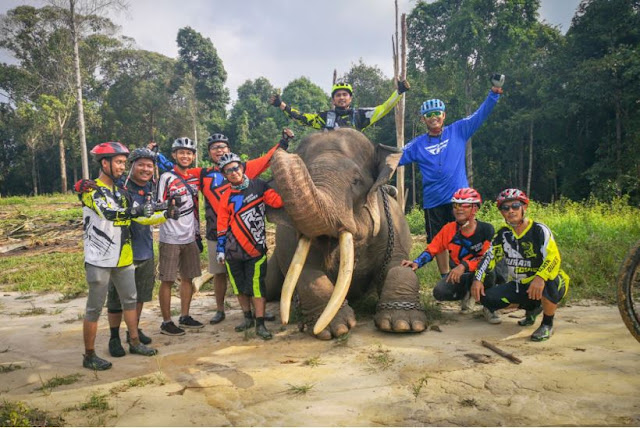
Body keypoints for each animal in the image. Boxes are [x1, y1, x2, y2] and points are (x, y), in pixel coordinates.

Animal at [264, 129, 424, 340]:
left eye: (356, 181)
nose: (286, 137)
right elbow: (307, 274)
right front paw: (335, 329)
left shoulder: (390, 227)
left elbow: (399, 265)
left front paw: (403, 324)